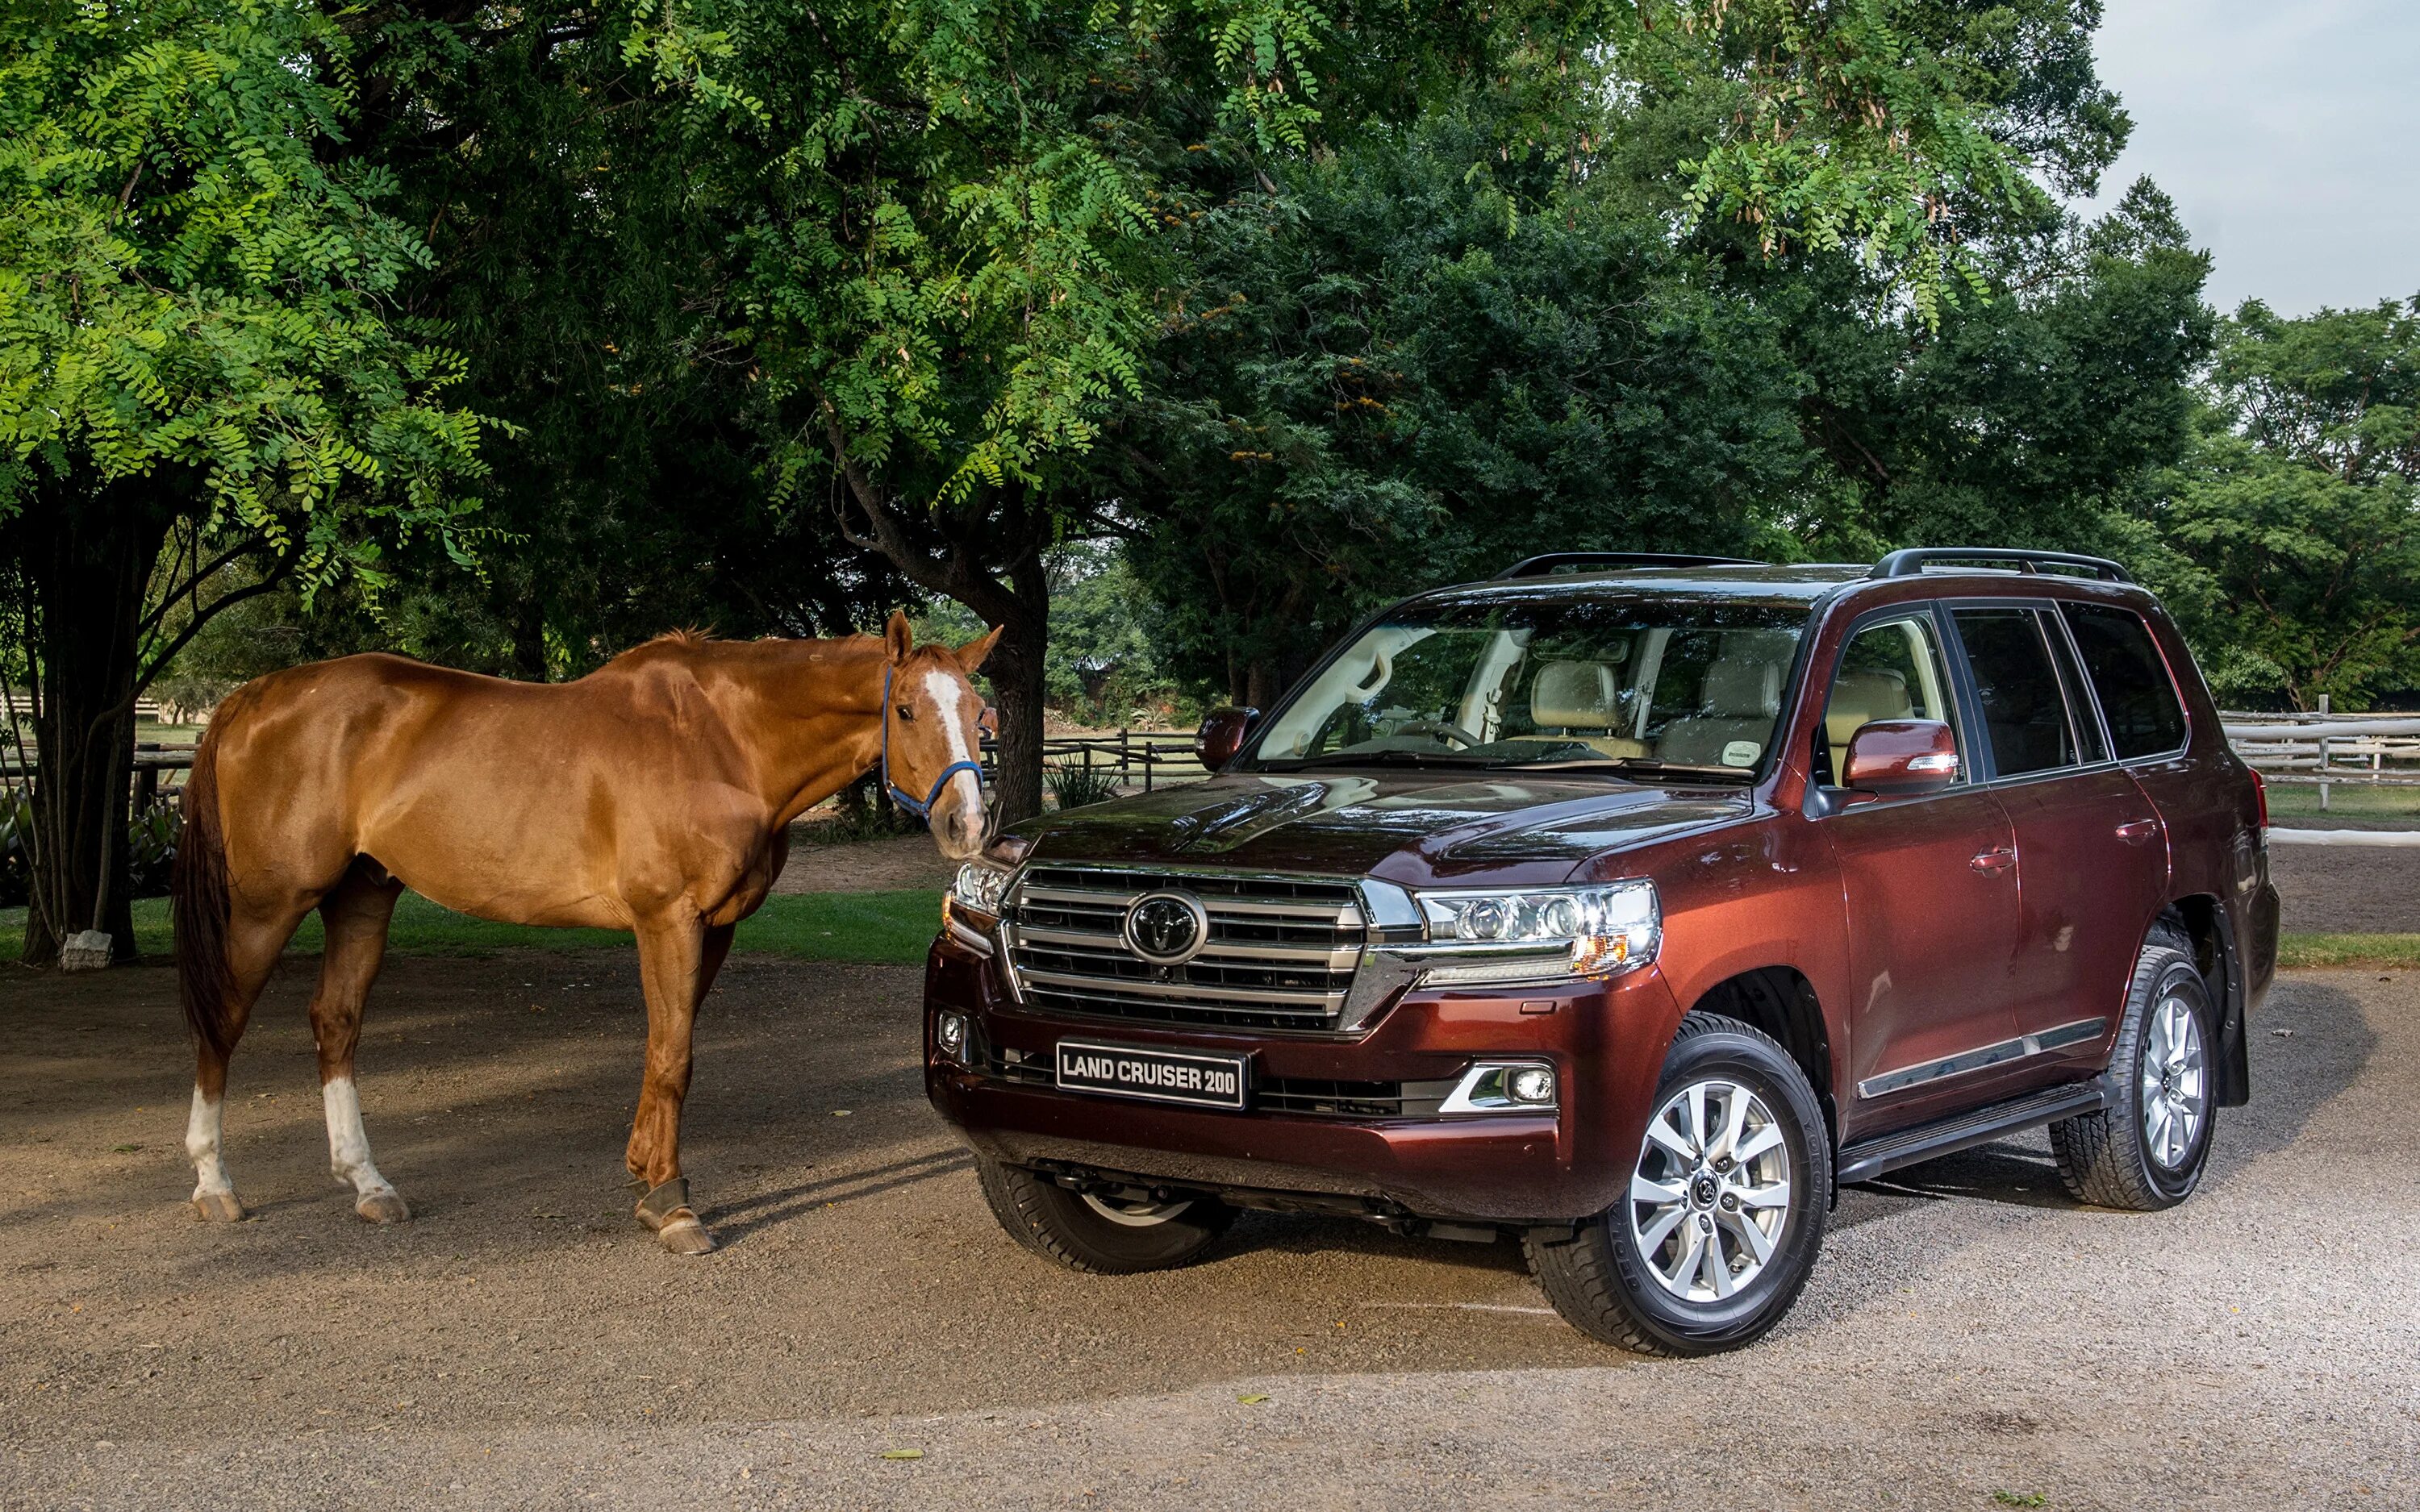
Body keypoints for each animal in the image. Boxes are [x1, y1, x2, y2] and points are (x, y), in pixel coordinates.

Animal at [175, 607, 997, 1258]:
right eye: (907, 711)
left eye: (980, 711)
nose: (967, 824)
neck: (722, 740)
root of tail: (251, 698)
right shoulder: (668, 919)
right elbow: (674, 1057)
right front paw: (672, 1205)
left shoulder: (714, 928)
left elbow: (667, 1045)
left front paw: (644, 1177)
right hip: (267, 905)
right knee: (222, 1023)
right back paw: (214, 1182)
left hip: (362, 894)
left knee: (336, 1022)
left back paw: (368, 1183)